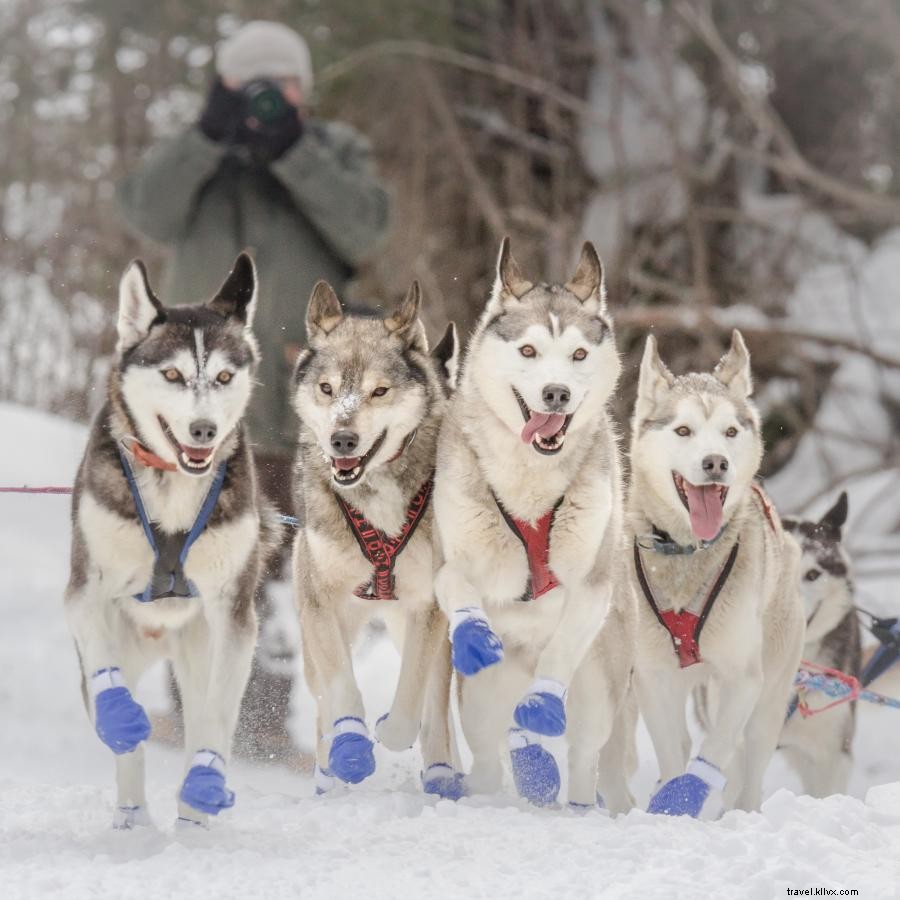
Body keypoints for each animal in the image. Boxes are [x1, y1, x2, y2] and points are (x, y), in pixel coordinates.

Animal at [64, 253, 276, 828]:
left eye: (224, 376)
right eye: (173, 374)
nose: (204, 430)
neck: (173, 486)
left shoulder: (234, 614)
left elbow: (217, 717)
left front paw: (204, 784)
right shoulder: (86, 589)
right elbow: (111, 690)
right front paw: (121, 720)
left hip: (201, 650)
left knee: (202, 715)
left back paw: (193, 815)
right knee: (124, 735)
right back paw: (133, 817)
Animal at [292, 280, 460, 796]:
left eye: (379, 391)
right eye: (327, 388)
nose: (342, 440)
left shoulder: (428, 606)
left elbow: (412, 707)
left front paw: (390, 731)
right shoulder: (320, 600)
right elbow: (341, 688)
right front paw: (350, 746)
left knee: (435, 704)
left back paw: (443, 773)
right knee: (322, 694)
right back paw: (329, 771)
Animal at [432, 241, 636, 816]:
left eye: (579, 355)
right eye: (527, 351)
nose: (556, 393)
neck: (531, 485)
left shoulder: (590, 585)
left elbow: (561, 648)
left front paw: (544, 702)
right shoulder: (454, 555)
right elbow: (453, 582)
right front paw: (474, 634)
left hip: (598, 693)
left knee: (584, 759)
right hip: (479, 703)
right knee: (485, 756)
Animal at [628, 332, 804, 816]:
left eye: (730, 432)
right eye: (683, 431)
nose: (716, 463)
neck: (688, 552)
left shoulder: (743, 677)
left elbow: (717, 748)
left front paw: (690, 794)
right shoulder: (653, 676)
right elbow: (673, 752)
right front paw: (670, 799)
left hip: (769, 696)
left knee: (750, 761)